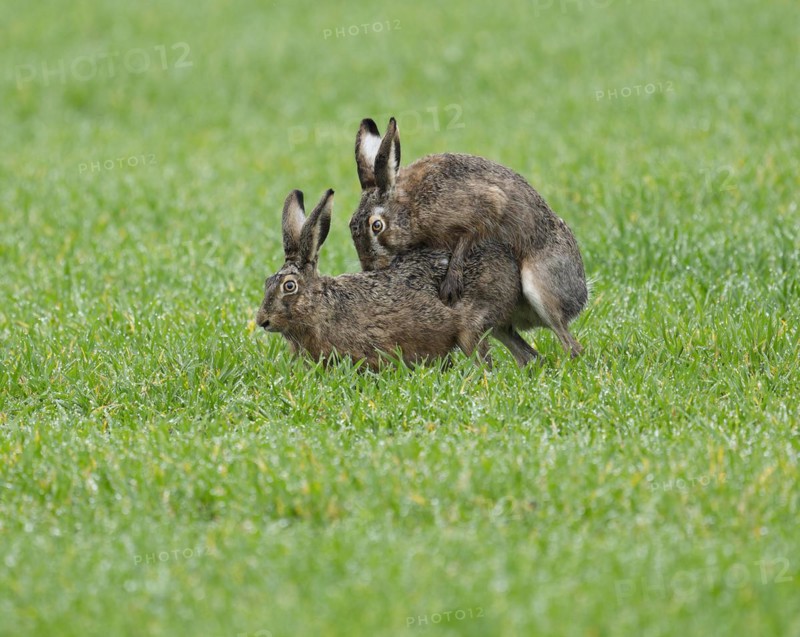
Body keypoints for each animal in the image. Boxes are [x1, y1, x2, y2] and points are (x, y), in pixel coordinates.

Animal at [256, 188, 539, 370]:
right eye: (267, 282)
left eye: (289, 286)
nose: (262, 321)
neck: (323, 307)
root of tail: (510, 262)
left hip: (471, 327)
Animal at [350, 117, 588, 358]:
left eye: (377, 226)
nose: (369, 267)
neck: (410, 206)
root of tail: (581, 297)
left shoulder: (485, 206)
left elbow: (468, 239)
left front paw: (451, 285)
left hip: (540, 288)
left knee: (568, 340)